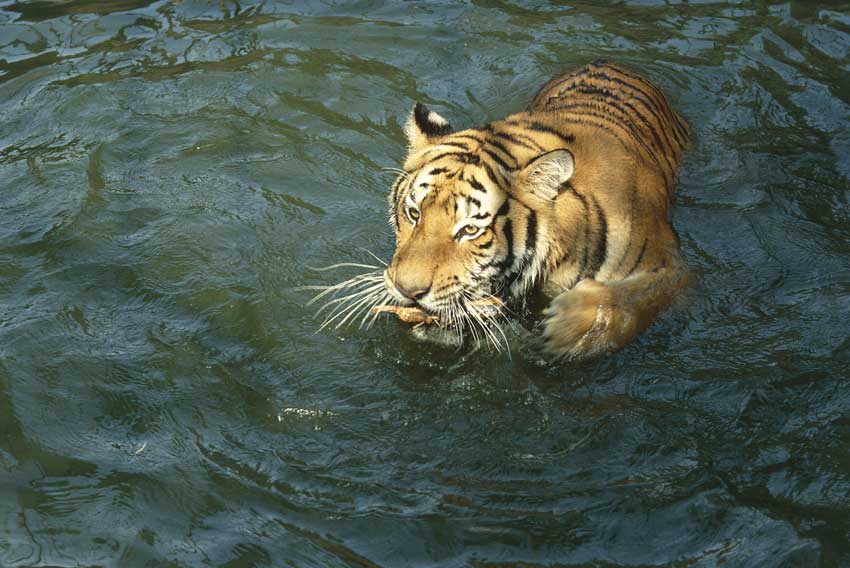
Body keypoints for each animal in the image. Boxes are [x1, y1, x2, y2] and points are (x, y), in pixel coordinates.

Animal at [322, 60, 690, 361]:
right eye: (414, 213)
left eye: (470, 230)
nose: (407, 292)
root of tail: (608, 61)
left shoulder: (675, 270)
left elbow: (632, 300)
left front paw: (567, 327)